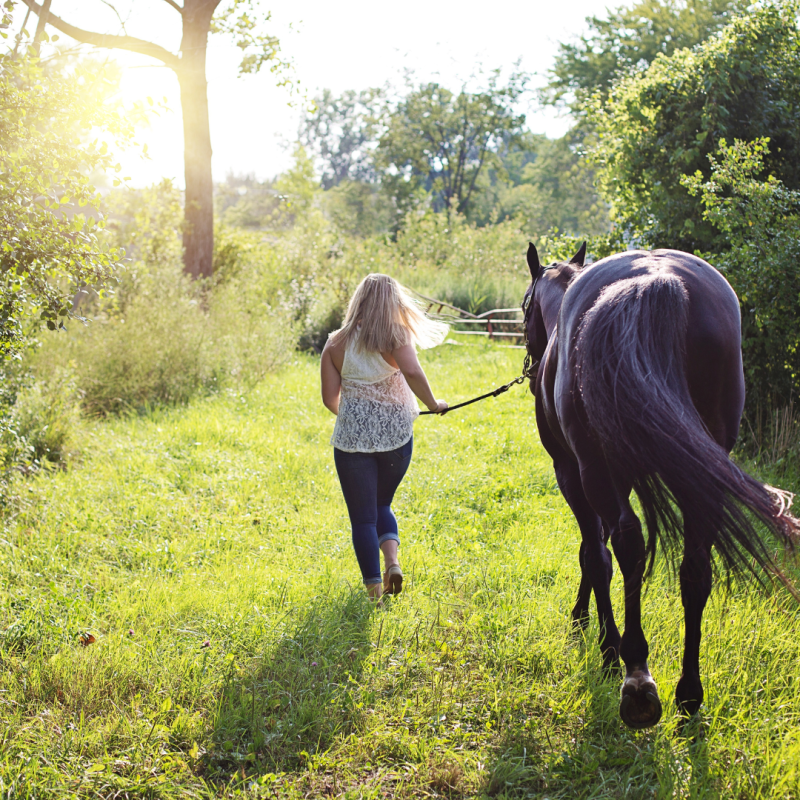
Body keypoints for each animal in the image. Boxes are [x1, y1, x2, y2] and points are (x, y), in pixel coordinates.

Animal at [524, 241, 792, 728]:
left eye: (523, 306)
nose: (532, 368)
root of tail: (656, 279)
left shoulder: (572, 473)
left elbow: (594, 553)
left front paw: (601, 642)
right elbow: (597, 549)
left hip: (595, 471)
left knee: (627, 545)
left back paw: (636, 677)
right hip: (700, 474)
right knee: (695, 569)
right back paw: (689, 693)